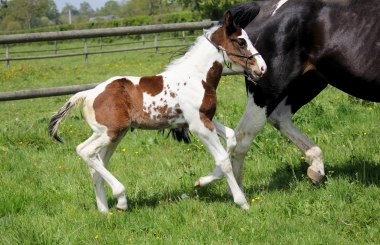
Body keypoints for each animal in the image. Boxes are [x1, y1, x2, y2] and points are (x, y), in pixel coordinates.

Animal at [49, 11, 266, 212]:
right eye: (241, 41)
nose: (262, 68)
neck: (197, 77)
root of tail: (88, 94)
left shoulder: (204, 118)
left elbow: (231, 138)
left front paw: (202, 181)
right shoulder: (199, 125)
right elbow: (223, 160)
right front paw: (242, 201)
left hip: (111, 135)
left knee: (97, 162)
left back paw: (106, 210)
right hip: (111, 132)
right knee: (84, 151)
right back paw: (121, 198)